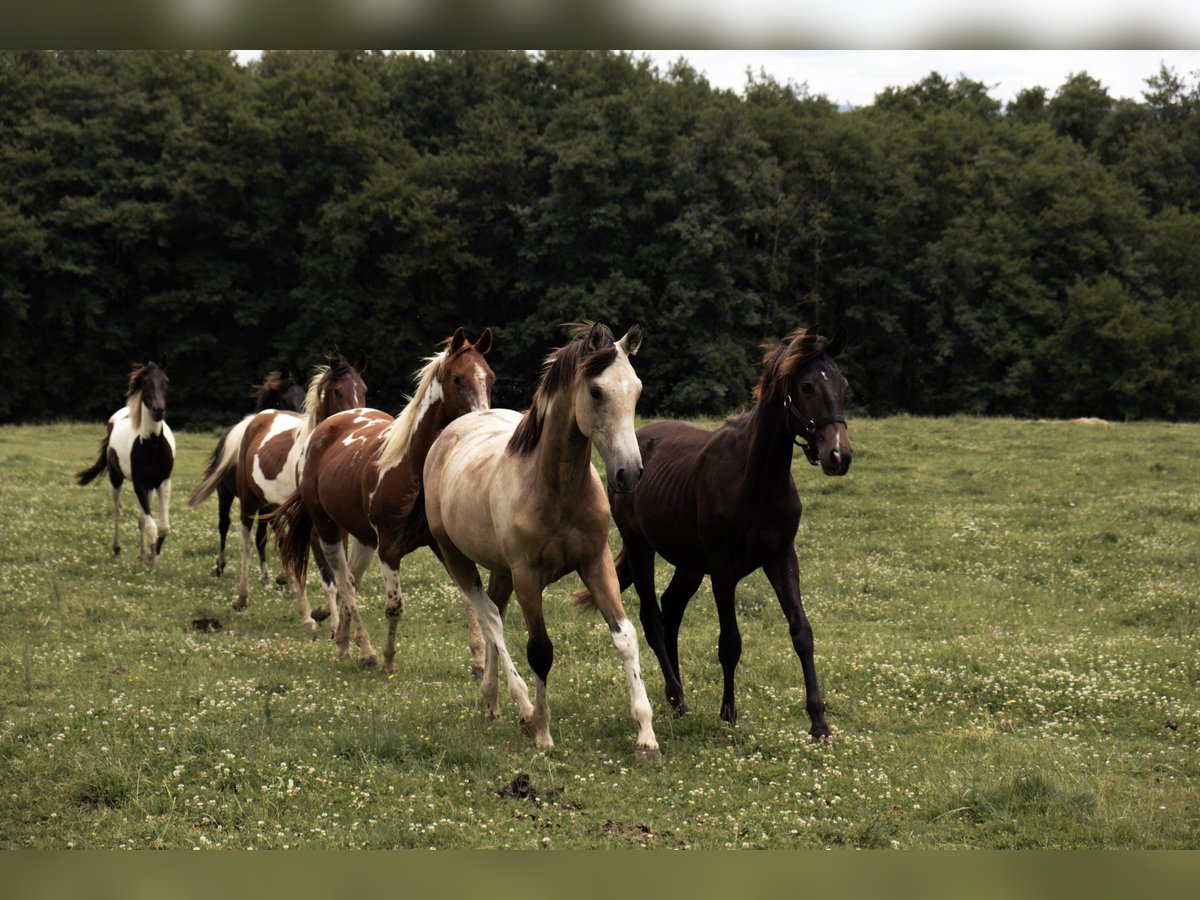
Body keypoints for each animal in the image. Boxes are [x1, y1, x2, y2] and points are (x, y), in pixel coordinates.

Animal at [75, 361, 176, 564]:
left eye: (166, 381)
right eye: (145, 382)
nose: (158, 410)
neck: (151, 444)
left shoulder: (163, 481)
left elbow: (162, 526)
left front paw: (153, 554)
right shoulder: (139, 483)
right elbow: (152, 525)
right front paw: (153, 561)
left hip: (149, 487)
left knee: (141, 518)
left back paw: (143, 553)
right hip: (116, 479)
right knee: (117, 510)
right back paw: (117, 550)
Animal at [187, 371, 306, 578]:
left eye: (304, 396)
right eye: (284, 400)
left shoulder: (268, 505)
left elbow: (266, 537)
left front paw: (274, 576)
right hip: (225, 493)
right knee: (224, 525)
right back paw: (220, 566)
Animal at [274, 328, 494, 673]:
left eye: (490, 377)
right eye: (457, 378)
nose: (481, 420)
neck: (413, 468)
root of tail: (326, 428)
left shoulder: (440, 544)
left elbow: (468, 597)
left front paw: (479, 660)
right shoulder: (389, 550)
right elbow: (394, 607)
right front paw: (388, 660)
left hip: (363, 539)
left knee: (352, 580)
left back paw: (343, 643)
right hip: (328, 531)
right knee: (344, 584)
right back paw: (365, 652)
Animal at [422, 322, 660, 762]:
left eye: (637, 389)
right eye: (596, 391)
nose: (629, 473)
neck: (556, 489)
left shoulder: (596, 564)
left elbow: (625, 638)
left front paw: (646, 736)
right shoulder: (528, 577)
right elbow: (540, 650)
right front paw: (544, 733)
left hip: (500, 570)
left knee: (495, 610)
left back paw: (493, 701)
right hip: (458, 559)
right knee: (490, 617)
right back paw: (523, 707)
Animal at [579, 325, 851, 742]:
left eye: (842, 384)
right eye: (806, 386)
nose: (839, 456)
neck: (756, 481)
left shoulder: (781, 558)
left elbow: (802, 632)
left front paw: (819, 722)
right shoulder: (724, 570)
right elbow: (730, 642)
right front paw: (728, 713)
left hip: (689, 565)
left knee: (671, 609)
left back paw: (678, 698)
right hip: (642, 550)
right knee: (652, 617)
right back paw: (677, 696)